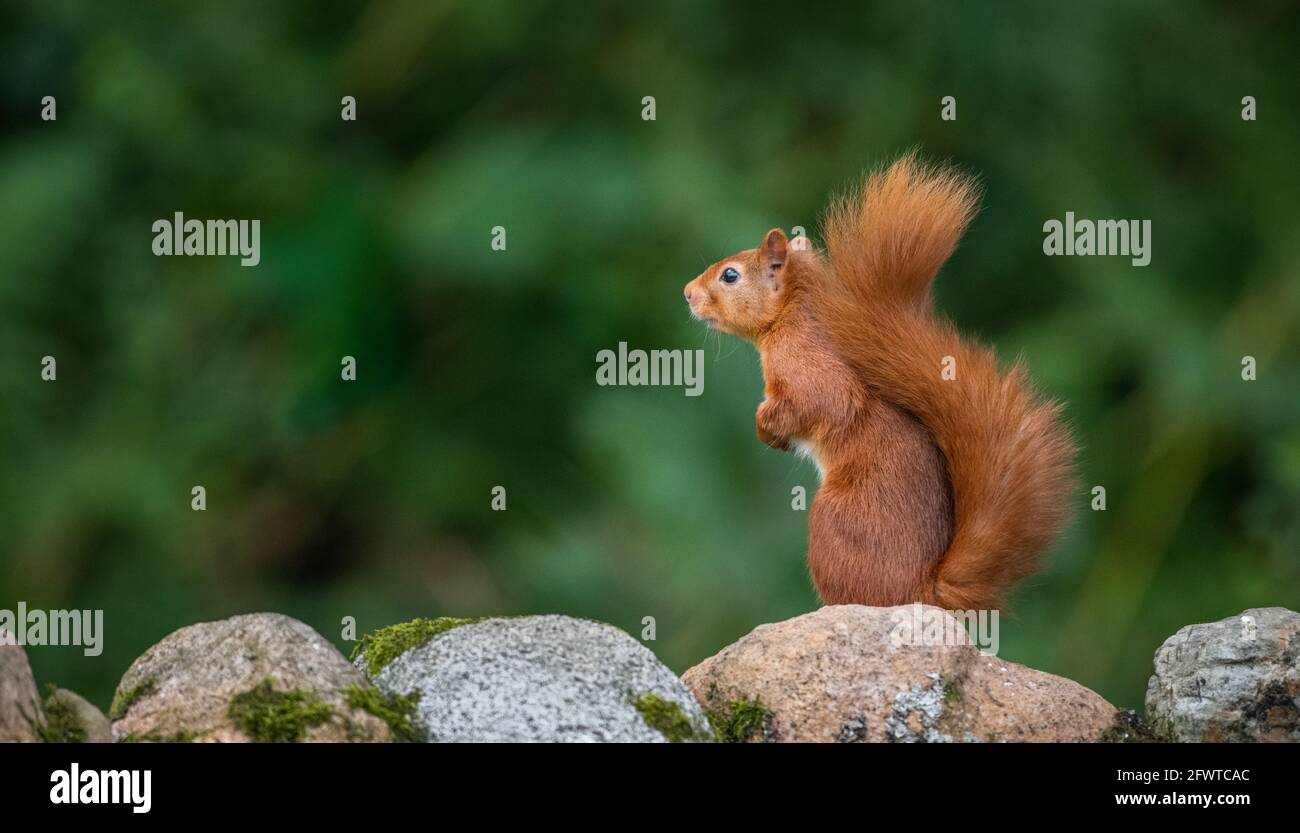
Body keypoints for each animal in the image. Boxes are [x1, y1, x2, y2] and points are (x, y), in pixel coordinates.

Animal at [681, 154, 1076, 610]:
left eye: (730, 276)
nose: (687, 293)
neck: (793, 316)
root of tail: (922, 593)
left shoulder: (809, 367)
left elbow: (820, 402)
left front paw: (766, 428)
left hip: (836, 523)